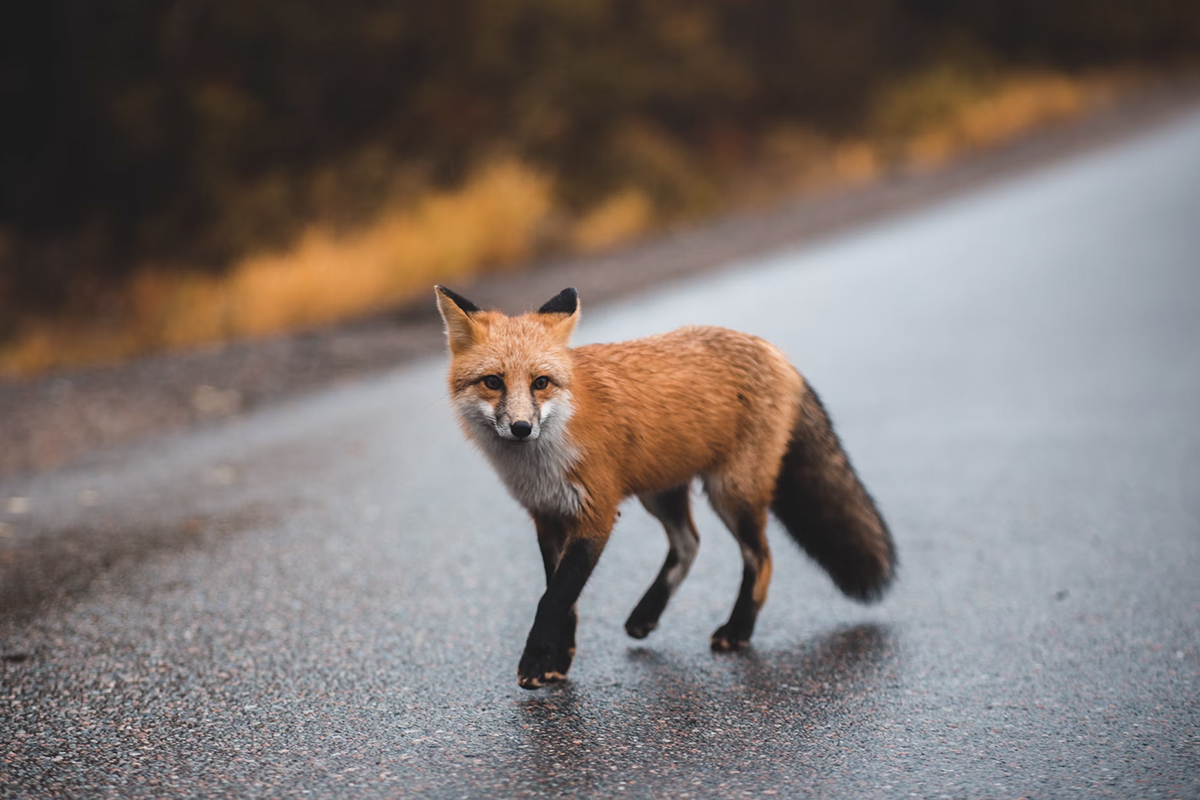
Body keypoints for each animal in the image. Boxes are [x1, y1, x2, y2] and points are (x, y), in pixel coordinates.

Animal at [436, 286, 897, 690]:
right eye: (493, 382)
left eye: (540, 382)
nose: (521, 428)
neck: (544, 459)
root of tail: (774, 351)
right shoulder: (548, 516)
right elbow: (563, 599)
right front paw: (558, 660)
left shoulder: (596, 514)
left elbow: (553, 599)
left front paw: (535, 661)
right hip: (660, 493)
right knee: (689, 543)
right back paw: (647, 613)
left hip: (731, 494)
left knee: (760, 558)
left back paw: (738, 629)